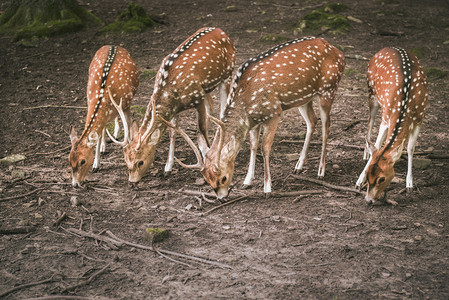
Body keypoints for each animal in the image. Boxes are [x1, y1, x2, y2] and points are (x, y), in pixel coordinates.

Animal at [68, 45, 137, 186]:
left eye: (82, 161)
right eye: (69, 160)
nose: (75, 185)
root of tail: (113, 45)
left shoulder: (126, 105)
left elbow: (129, 126)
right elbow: (98, 136)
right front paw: (96, 164)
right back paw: (105, 145)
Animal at [118, 27, 238, 184]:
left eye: (140, 162)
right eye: (126, 161)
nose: (132, 181)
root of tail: (221, 31)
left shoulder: (197, 98)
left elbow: (201, 130)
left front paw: (207, 160)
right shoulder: (176, 108)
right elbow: (173, 133)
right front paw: (167, 168)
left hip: (227, 74)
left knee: (222, 109)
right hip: (206, 88)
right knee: (211, 106)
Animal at [163, 36, 344, 199]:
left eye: (223, 178)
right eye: (208, 181)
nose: (222, 197)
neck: (247, 99)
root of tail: (339, 53)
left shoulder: (274, 112)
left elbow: (265, 147)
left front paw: (267, 188)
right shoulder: (253, 120)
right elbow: (253, 145)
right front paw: (247, 181)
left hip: (328, 89)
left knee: (327, 126)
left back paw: (321, 171)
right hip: (303, 99)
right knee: (312, 121)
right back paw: (298, 166)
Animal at [356, 48, 428, 205]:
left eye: (381, 179)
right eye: (368, 174)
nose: (368, 200)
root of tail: (386, 48)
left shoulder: (420, 118)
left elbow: (410, 148)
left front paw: (409, 184)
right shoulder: (386, 117)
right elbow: (378, 145)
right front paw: (359, 180)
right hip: (371, 92)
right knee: (370, 121)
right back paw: (365, 153)